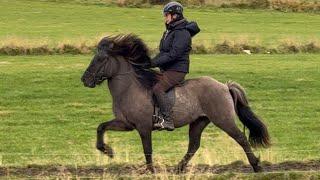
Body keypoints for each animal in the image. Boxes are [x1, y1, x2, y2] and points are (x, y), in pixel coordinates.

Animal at [80, 33, 270, 173]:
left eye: (101, 59)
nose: (85, 80)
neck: (129, 89)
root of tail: (224, 86)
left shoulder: (143, 127)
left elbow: (147, 149)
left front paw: (150, 171)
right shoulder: (125, 124)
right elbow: (101, 127)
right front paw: (107, 151)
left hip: (223, 120)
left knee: (240, 138)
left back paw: (256, 166)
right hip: (199, 121)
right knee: (194, 145)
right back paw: (178, 168)